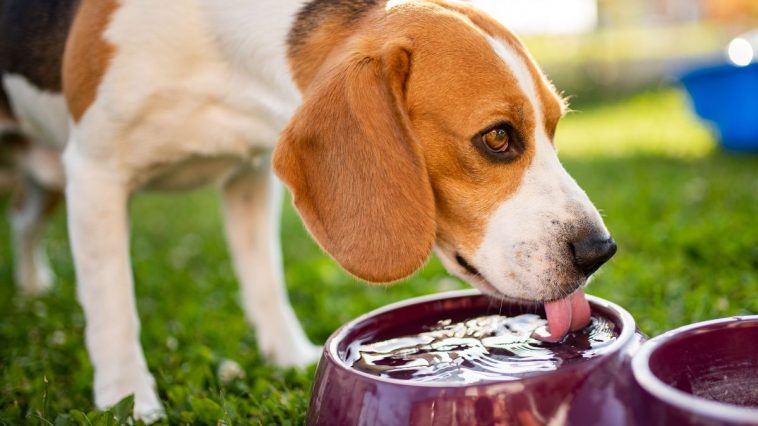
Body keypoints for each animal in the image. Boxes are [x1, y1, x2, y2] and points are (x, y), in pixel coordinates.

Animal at [0, 0, 616, 420]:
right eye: (497, 138)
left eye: (554, 127)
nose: (599, 251)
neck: (219, 49)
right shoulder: (96, 172)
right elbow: (113, 307)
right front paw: (129, 401)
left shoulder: (249, 176)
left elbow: (265, 280)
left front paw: (289, 356)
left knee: (25, 223)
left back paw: (31, 287)